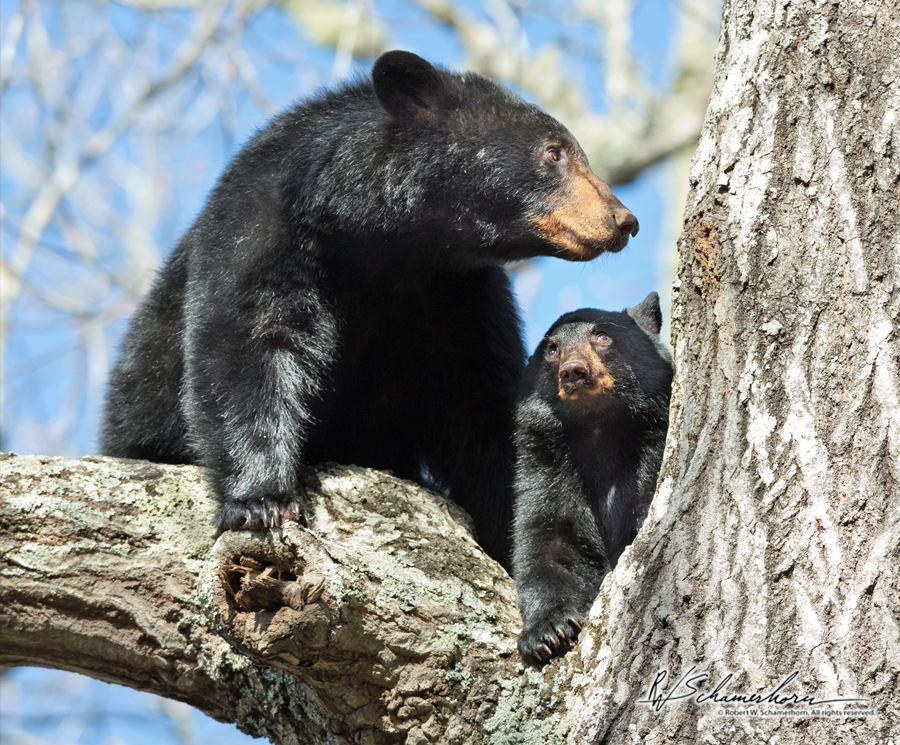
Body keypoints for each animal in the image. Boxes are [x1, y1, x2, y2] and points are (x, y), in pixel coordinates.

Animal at [100, 50, 640, 564]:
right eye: (554, 152)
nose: (624, 220)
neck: (384, 244)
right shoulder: (261, 230)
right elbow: (245, 344)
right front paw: (261, 500)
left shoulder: (460, 296)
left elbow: (483, 404)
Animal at [510, 292, 672, 664]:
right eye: (552, 349)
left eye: (602, 335)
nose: (573, 371)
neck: (598, 430)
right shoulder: (548, 467)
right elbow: (545, 543)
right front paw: (546, 630)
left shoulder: (651, 449)